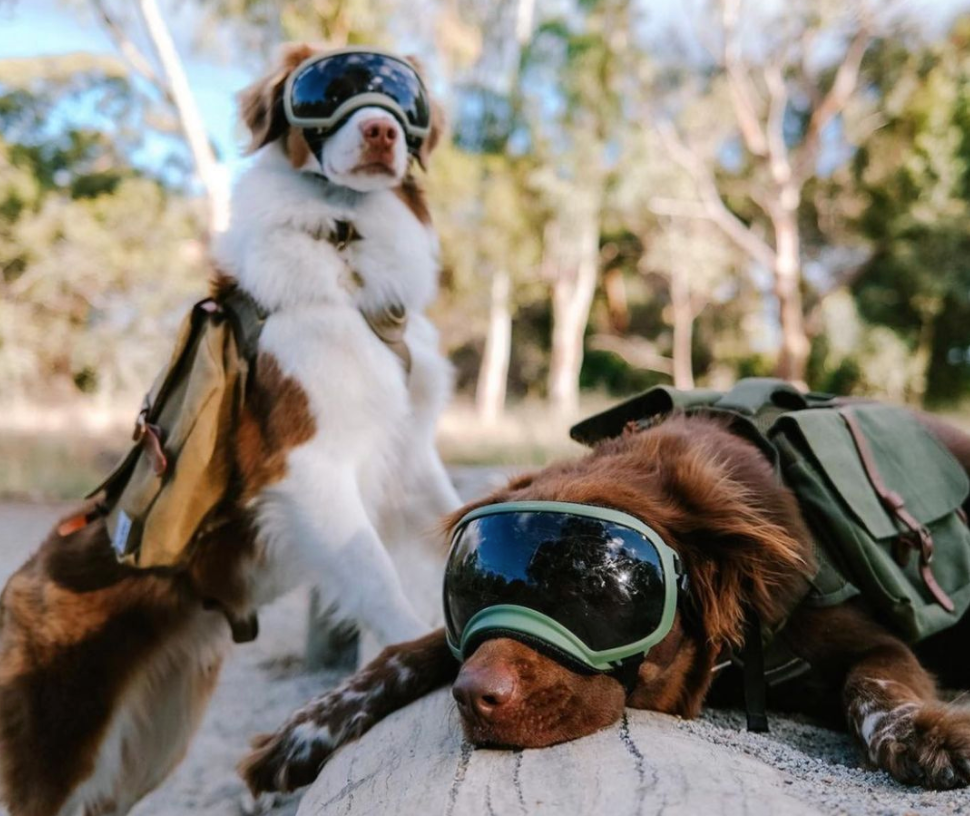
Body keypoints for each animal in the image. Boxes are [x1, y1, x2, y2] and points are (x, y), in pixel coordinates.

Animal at [0, 44, 458, 816]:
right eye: (325, 89)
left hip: (149, 744)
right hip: (54, 760)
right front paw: (415, 653)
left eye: (403, 99)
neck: (345, 248)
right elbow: (378, 577)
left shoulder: (413, 452)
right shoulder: (305, 467)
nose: (380, 131)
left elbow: (455, 516)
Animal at [238, 412, 968, 792]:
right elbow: (404, 652)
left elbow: (873, 687)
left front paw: (924, 733)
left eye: (595, 591)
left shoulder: (871, 640)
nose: (472, 696)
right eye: (477, 586)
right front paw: (305, 730)